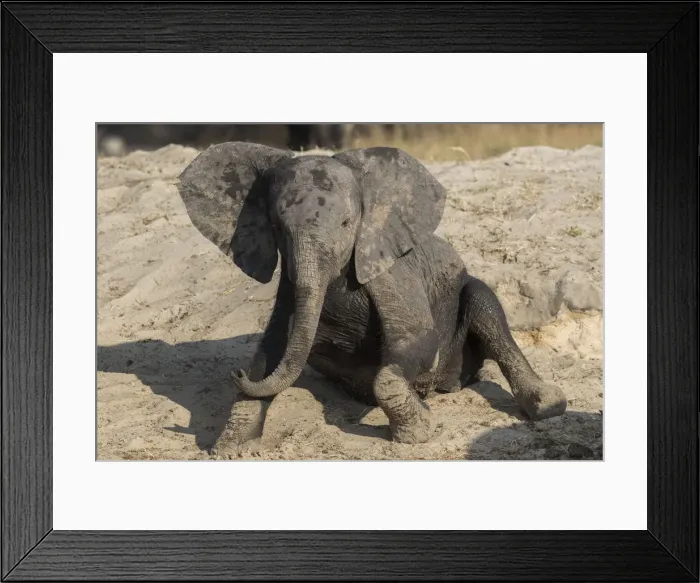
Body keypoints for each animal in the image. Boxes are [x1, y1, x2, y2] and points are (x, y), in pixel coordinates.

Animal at [176, 142, 567, 445]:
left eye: (347, 223)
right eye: (277, 226)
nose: (236, 373)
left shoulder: (389, 268)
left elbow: (417, 338)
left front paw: (419, 432)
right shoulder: (288, 282)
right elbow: (273, 350)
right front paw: (232, 447)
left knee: (486, 307)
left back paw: (548, 405)